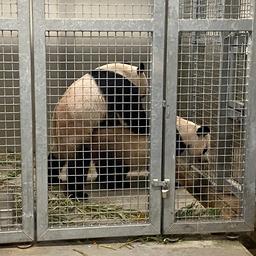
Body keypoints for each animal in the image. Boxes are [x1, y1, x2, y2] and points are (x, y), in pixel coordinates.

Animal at [56, 116, 210, 200]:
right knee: (111, 168)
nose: (205, 161)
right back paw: (116, 184)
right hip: (112, 149)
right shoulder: (175, 141)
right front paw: (176, 183)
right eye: (206, 149)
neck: (185, 130)